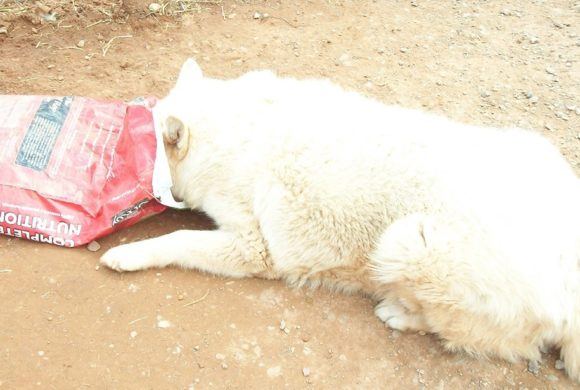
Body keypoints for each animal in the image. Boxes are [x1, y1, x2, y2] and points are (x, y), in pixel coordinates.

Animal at [101, 59, 580, 382]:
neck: (235, 129)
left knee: (476, 336)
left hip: (406, 241)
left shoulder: (254, 248)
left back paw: (400, 313)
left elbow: (179, 238)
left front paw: (128, 253)